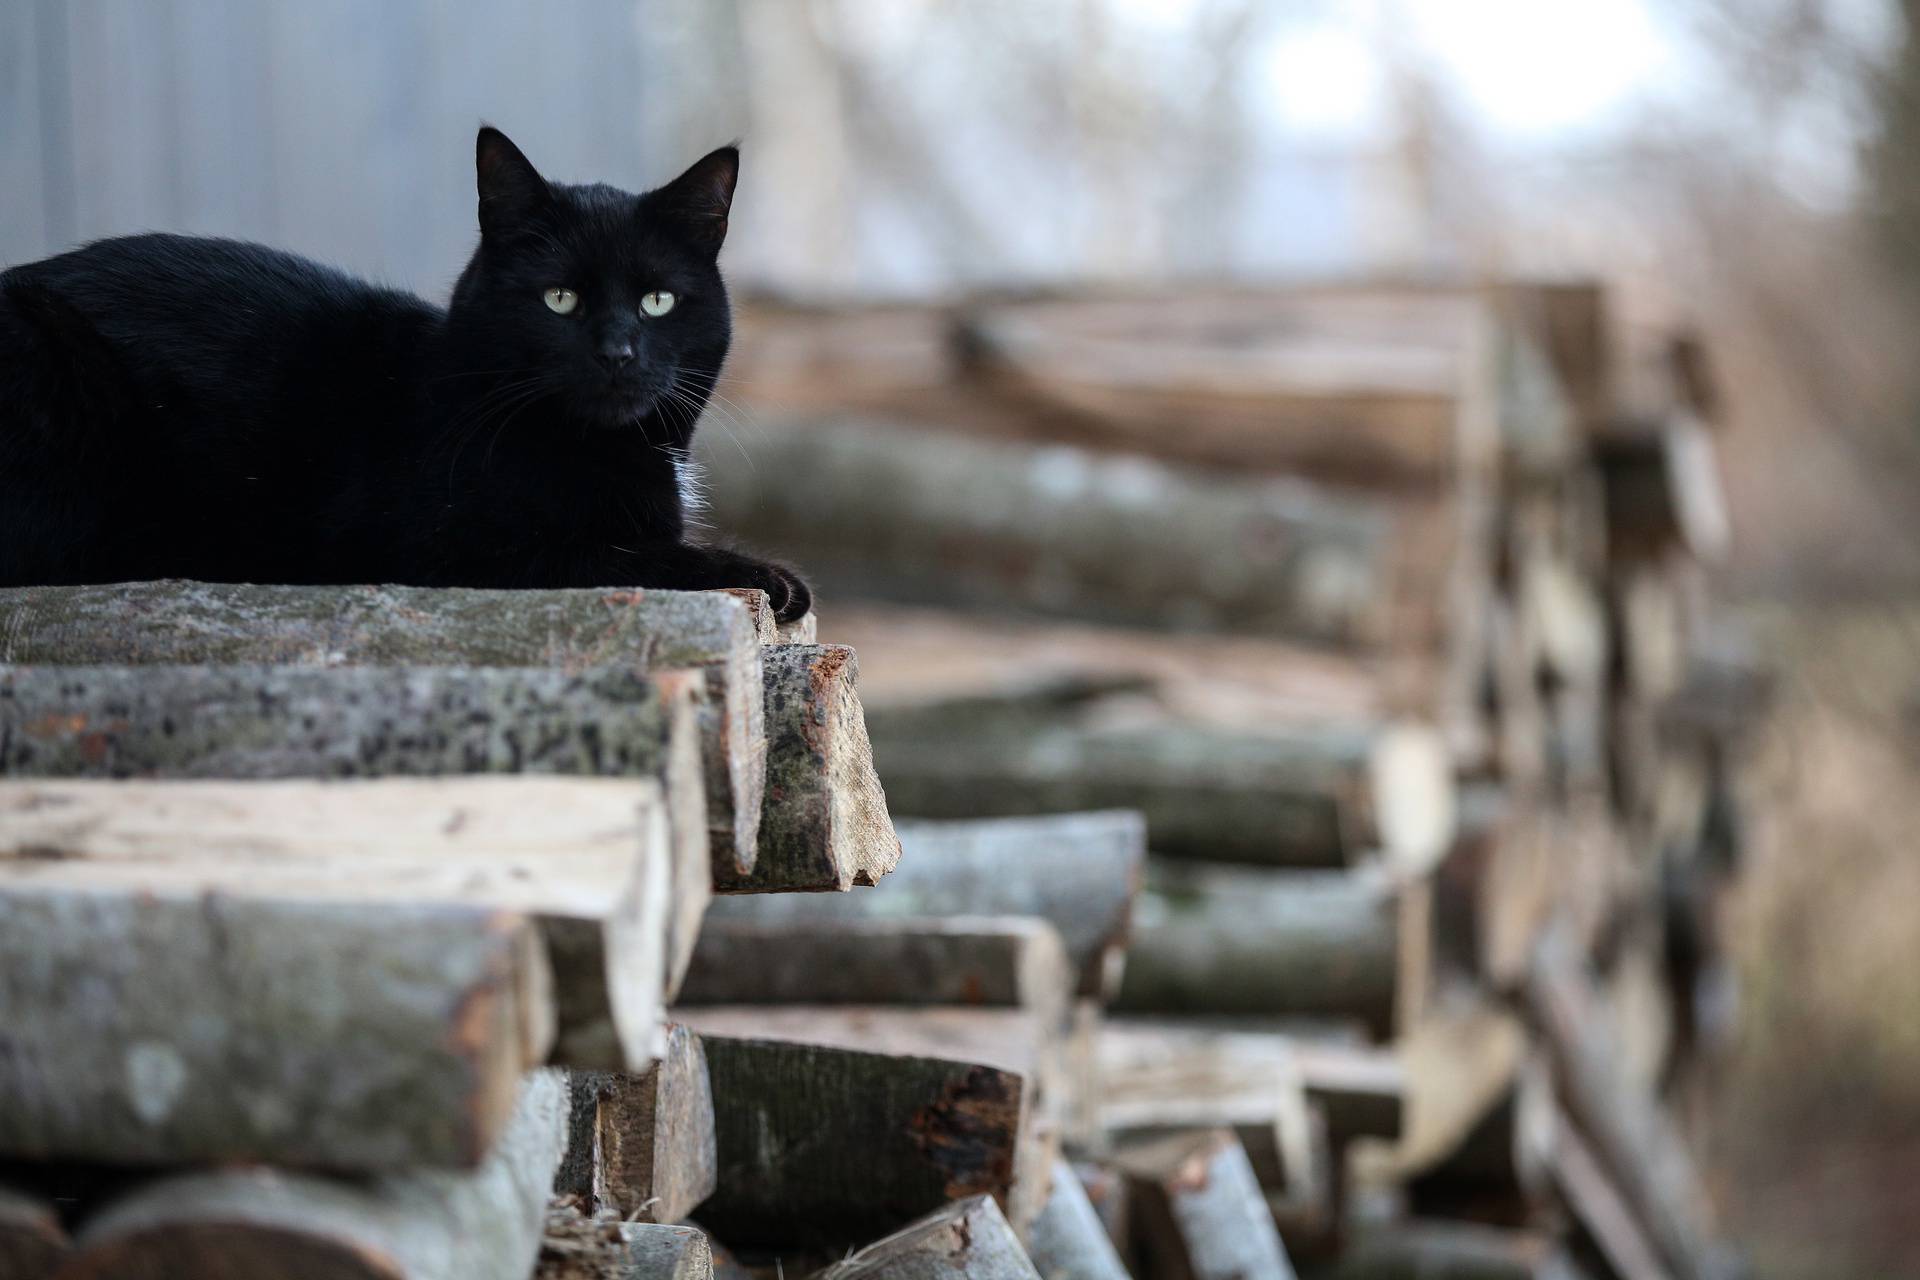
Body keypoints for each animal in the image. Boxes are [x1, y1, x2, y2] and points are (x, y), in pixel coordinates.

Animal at [0, 128, 810, 621]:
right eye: (560, 298)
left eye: (656, 301)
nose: (616, 352)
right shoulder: (450, 549)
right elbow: (623, 553)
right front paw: (767, 574)